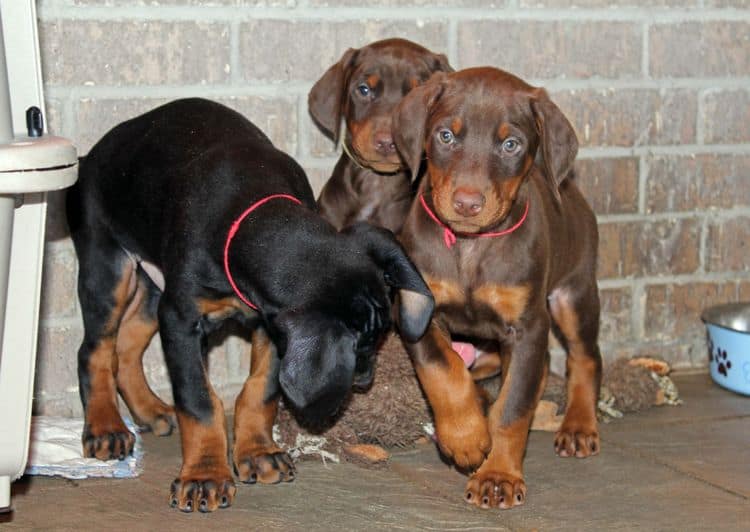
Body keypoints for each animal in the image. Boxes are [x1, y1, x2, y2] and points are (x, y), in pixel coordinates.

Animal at [69, 97, 434, 512]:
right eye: (362, 345)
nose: (365, 381)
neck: (251, 216)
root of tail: (90, 155)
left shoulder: (271, 324)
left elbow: (260, 390)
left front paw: (259, 453)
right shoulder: (181, 319)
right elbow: (199, 399)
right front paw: (204, 476)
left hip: (154, 286)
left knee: (127, 345)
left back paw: (149, 410)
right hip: (109, 267)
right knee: (96, 348)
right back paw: (105, 427)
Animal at [394, 67, 604, 512]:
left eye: (511, 144)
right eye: (445, 135)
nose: (467, 203)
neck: (471, 246)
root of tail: (572, 189)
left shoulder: (526, 328)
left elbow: (513, 409)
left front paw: (498, 476)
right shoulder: (417, 310)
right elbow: (442, 368)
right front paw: (466, 437)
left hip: (572, 294)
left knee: (583, 357)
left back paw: (579, 424)